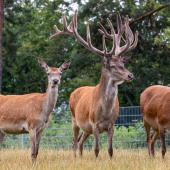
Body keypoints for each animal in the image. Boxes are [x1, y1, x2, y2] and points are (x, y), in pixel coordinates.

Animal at [50, 10, 138, 158]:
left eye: (123, 64)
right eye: (113, 66)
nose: (130, 75)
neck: (105, 111)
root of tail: (74, 91)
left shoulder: (112, 124)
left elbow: (110, 150)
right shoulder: (94, 123)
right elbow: (96, 149)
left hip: (86, 129)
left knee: (80, 142)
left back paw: (80, 158)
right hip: (74, 119)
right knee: (74, 142)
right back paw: (75, 158)